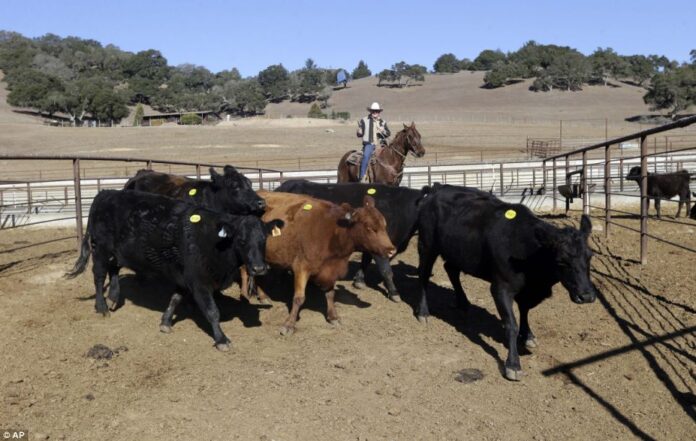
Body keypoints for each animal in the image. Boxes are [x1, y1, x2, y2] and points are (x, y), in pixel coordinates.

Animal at [65, 190, 283, 350]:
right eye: (241, 240)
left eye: (264, 240)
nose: (259, 268)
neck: (214, 241)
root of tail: (104, 194)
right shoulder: (199, 283)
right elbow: (212, 312)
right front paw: (221, 339)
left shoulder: (184, 278)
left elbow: (175, 299)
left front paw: (165, 322)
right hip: (100, 250)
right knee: (99, 276)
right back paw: (102, 306)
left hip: (117, 252)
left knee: (114, 270)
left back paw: (113, 297)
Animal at [240, 190, 396, 336]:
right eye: (369, 227)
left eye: (384, 225)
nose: (391, 250)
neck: (331, 233)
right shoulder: (301, 267)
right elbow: (298, 298)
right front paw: (289, 325)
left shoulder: (330, 270)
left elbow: (330, 293)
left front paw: (333, 317)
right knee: (243, 271)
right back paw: (245, 296)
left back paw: (263, 296)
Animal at [416, 184, 598, 381]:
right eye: (562, 261)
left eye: (590, 256)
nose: (587, 296)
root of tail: (436, 189)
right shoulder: (500, 288)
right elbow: (511, 324)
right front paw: (513, 364)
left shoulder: (527, 291)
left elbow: (524, 312)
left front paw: (528, 335)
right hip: (427, 245)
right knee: (423, 275)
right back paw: (423, 312)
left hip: (458, 252)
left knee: (450, 269)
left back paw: (463, 303)